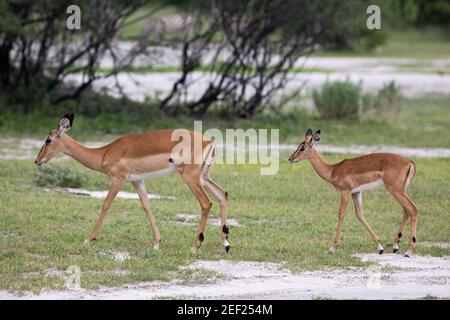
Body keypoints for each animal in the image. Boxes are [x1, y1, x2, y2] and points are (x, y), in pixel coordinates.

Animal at [34, 114, 230, 252]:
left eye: (48, 140)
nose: (37, 161)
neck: (104, 153)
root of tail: (209, 142)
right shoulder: (137, 181)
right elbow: (147, 206)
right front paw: (157, 243)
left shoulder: (118, 179)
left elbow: (105, 205)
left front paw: (88, 239)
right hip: (203, 176)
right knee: (222, 194)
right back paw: (226, 244)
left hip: (190, 176)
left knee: (206, 203)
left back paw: (195, 246)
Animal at [288, 129, 418, 256]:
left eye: (302, 148)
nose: (290, 159)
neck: (333, 170)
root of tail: (410, 162)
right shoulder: (356, 192)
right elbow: (360, 215)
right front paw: (380, 248)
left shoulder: (345, 191)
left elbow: (341, 214)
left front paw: (332, 248)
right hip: (399, 190)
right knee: (406, 211)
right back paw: (395, 246)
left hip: (395, 189)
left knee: (413, 209)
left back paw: (408, 251)